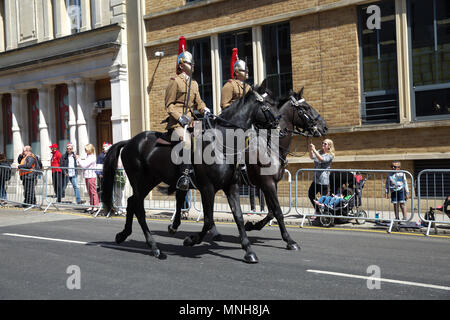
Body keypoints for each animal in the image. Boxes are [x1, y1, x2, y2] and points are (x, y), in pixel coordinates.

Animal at [101, 83, 282, 262]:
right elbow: (208, 220)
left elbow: (238, 216)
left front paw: (248, 250)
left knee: (131, 202)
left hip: (150, 181)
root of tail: (129, 141)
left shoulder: (231, 186)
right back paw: (155, 248)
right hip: (139, 180)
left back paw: (123, 235)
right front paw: (191, 240)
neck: (221, 143)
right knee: (139, 209)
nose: (279, 126)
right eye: (268, 104)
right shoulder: (207, 188)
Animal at [169, 87, 326, 250]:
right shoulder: (267, 183)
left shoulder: (270, 184)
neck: (271, 146)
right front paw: (289, 240)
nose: (324, 127)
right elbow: (277, 211)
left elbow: (271, 212)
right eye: (305, 108)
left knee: (184, 198)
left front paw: (252, 225)